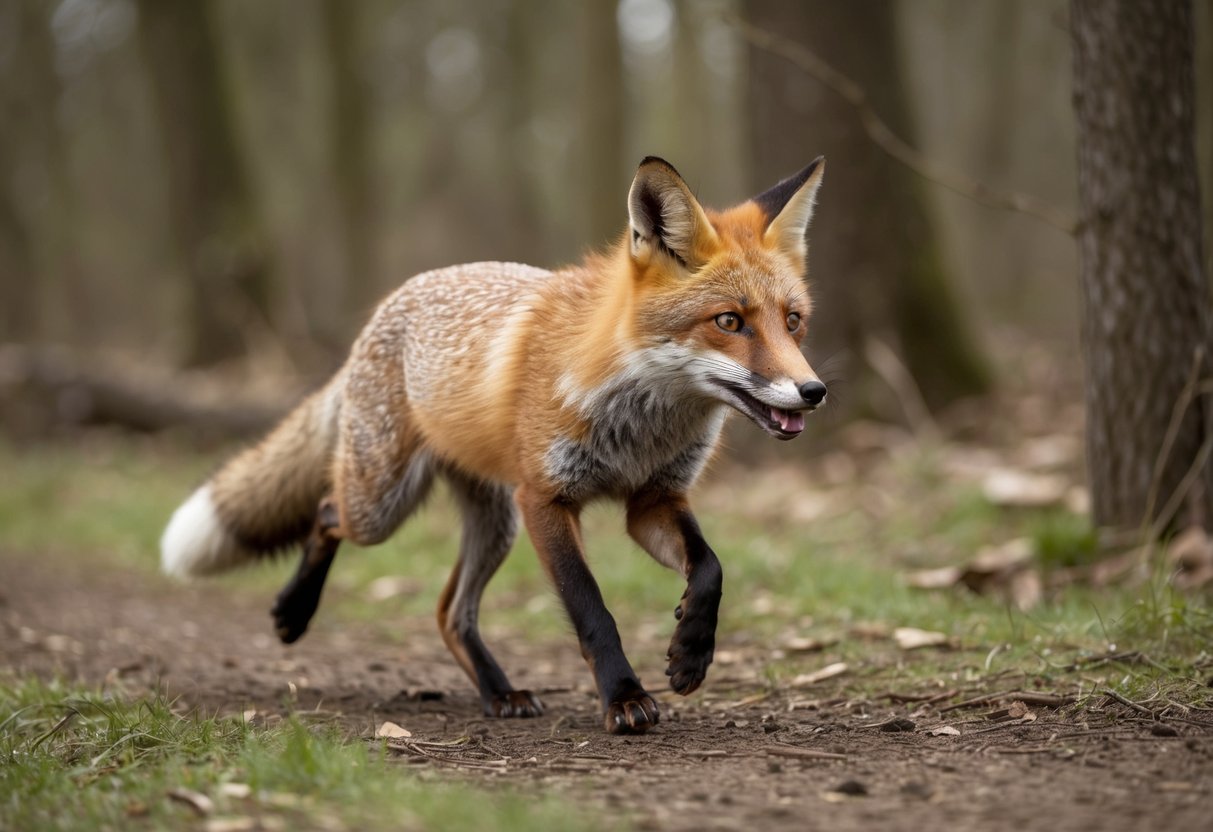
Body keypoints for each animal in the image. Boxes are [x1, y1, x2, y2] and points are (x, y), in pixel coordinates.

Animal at [161, 156, 827, 734]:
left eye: (792, 321)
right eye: (729, 322)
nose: (813, 391)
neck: (641, 422)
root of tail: (386, 307)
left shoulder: (653, 500)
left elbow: (710, 567)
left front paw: (691, 652)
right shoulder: (545, 498)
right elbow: (592, 610)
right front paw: (624, 698)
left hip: (493, 522)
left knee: (449, 611)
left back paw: (499, 691)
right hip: (387, 504)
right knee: (327, 513)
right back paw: (294, 611)